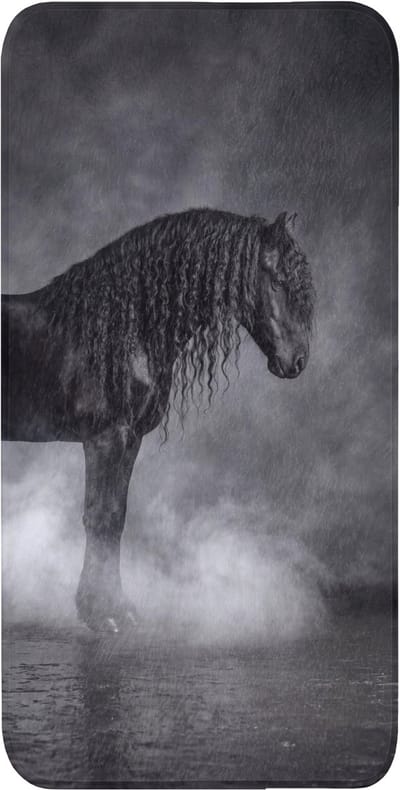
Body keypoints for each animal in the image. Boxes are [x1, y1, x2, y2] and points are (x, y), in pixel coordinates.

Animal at [2, 208, 315, 632]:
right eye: (279, 281)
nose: (297, 361)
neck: (122, 327)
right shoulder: (105, 439)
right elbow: (100, 517)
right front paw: (101, 613)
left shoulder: (130, 439)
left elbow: (117, 518)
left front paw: (119, 607)